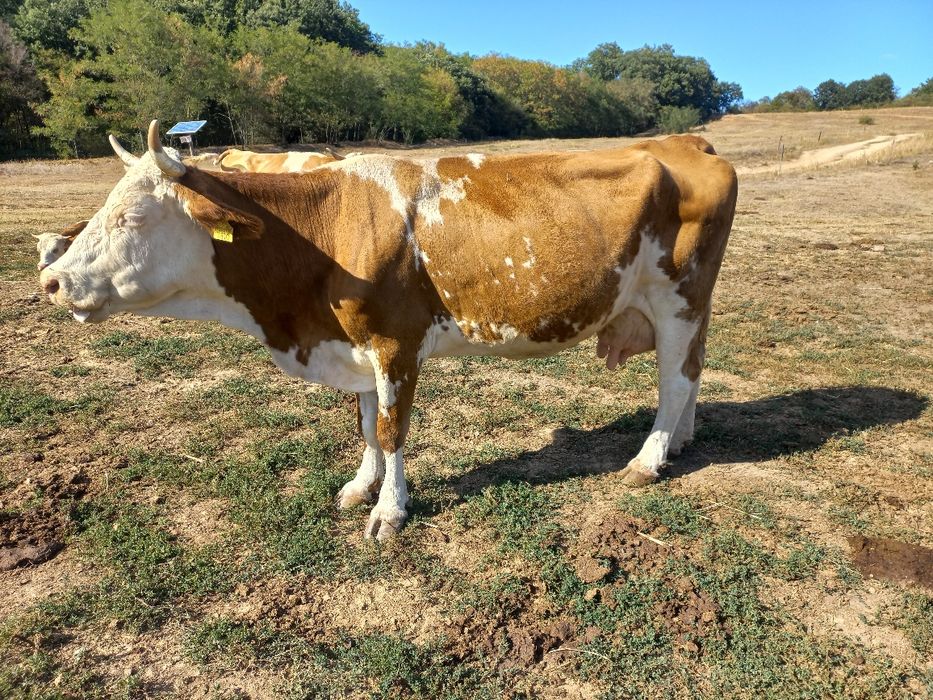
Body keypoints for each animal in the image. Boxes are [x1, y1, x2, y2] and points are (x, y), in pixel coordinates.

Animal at [41, 120, 737, 540]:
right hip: (689, 304)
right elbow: (364, 419)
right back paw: (680, 443)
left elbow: (392, 426)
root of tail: (685, 143)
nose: (52, 279)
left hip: (678, 295)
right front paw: (361, 485)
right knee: (693, 370)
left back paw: (648, 459)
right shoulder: (353, 345)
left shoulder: (395, 342)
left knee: (675, 379)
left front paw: (389, 510)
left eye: (133, 217)